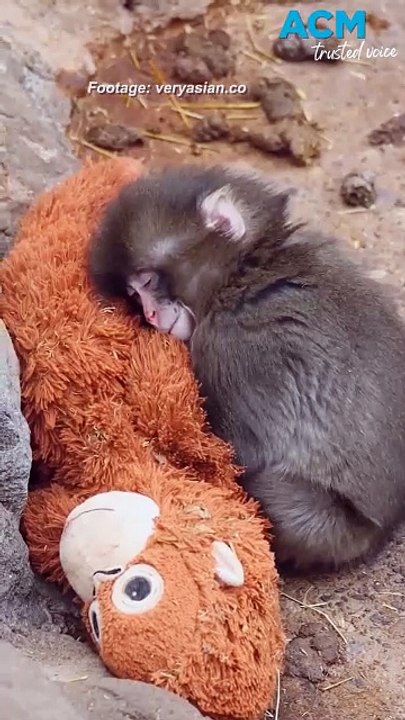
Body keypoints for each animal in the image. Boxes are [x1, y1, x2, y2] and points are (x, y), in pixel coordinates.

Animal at [88, 162, 405, 572]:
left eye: (148, 280)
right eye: (133, 293)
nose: (151, 314)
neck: (243, 273)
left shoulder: (227, 347)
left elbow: (241, 454)